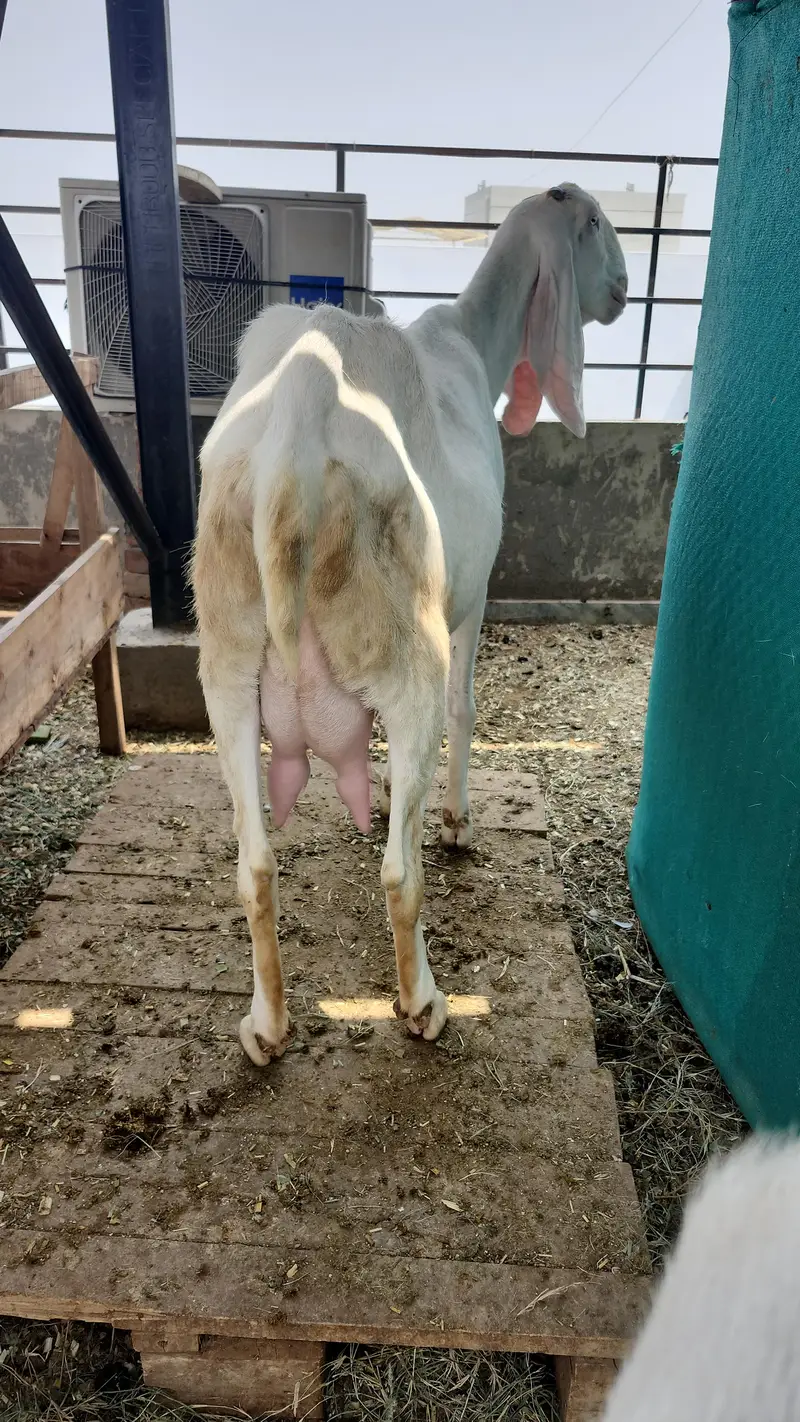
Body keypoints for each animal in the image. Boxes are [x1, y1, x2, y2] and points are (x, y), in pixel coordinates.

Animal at [191, 183, 628, 1067]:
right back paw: (423, 1002)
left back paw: (267, 1026)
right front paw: (454, 820)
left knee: (255, 864)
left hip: (227, 660)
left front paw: (409, 794)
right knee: (400, 871)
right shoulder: (475, 594)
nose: (627, 291)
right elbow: (467, 707)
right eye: (596, 224)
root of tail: (300, 420)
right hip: (405, 643)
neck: (472, 344)